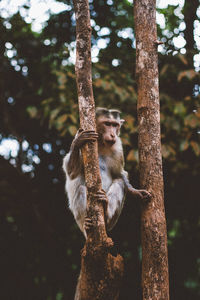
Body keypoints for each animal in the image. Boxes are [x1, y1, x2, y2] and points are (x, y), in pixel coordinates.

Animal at [62, 107, 150, 237]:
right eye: (107, 124)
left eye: (115, 125)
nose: (113, 135)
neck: (100, 143)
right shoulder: (81, 133)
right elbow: (71, 172)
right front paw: (77, 142)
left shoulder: (118, 147)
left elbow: (119, 174)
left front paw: (135, 192)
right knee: (81, 189)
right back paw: (87, 226)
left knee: (119, 182)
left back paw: (107, 213)